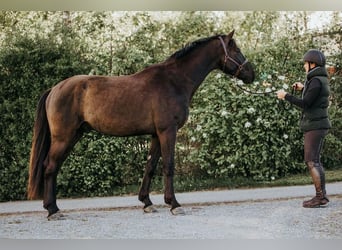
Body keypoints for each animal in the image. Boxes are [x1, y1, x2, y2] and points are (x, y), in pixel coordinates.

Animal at [27, 30, 254, 219]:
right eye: (236, 49)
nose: (251, 73)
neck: (175, 81)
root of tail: (54, 89)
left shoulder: (156, 134)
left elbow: (150, 166)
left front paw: (147, 202)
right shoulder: (168, 131)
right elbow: (168, 165)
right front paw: (174, 204)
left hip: (74, 136)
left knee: (54, 167)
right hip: (64, 137)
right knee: (50, 167)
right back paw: (53, 210)